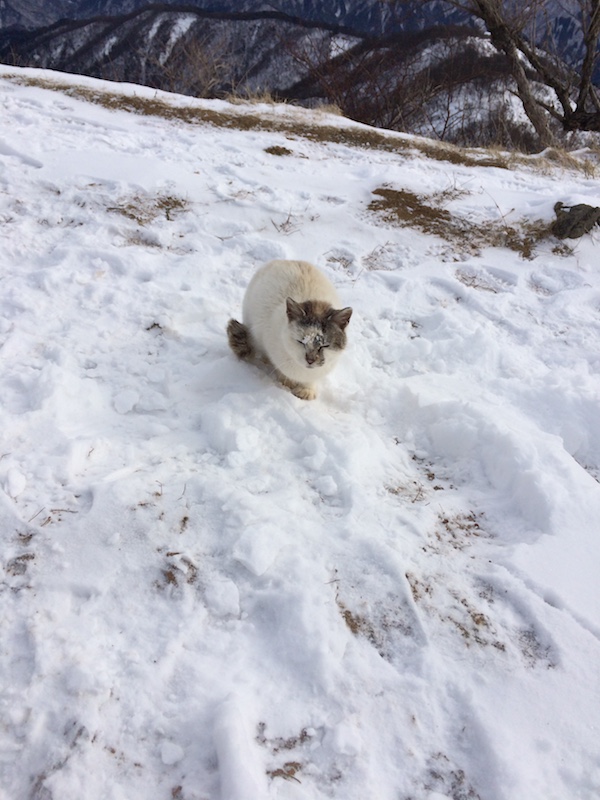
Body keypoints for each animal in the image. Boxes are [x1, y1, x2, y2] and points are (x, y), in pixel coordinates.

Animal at [229, 260, 352, 400]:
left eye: (324, 345)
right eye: (301, 342)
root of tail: (282, 260)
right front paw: (287, 383)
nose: (310, 360)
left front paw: (306, 391)